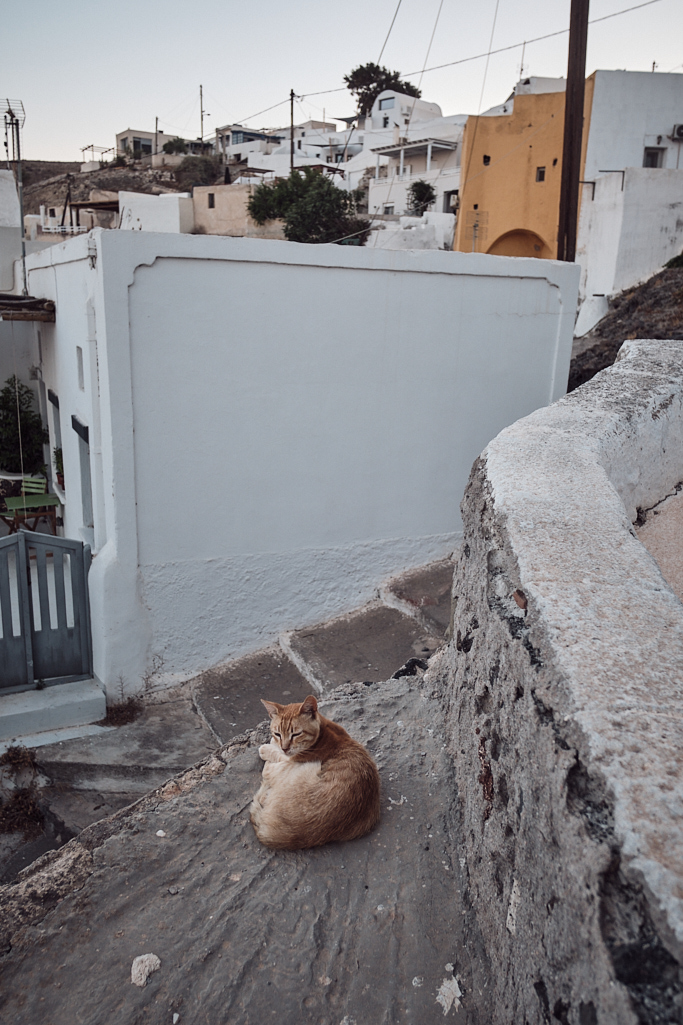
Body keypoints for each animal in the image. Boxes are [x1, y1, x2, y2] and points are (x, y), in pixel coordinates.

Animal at [249, 694, 381, 850]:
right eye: (277, 733)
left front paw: (268, 747)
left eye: (296, 734)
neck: (323, 733)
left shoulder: (291, 759)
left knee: (267, 773)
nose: (285, 748)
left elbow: (276, 755)